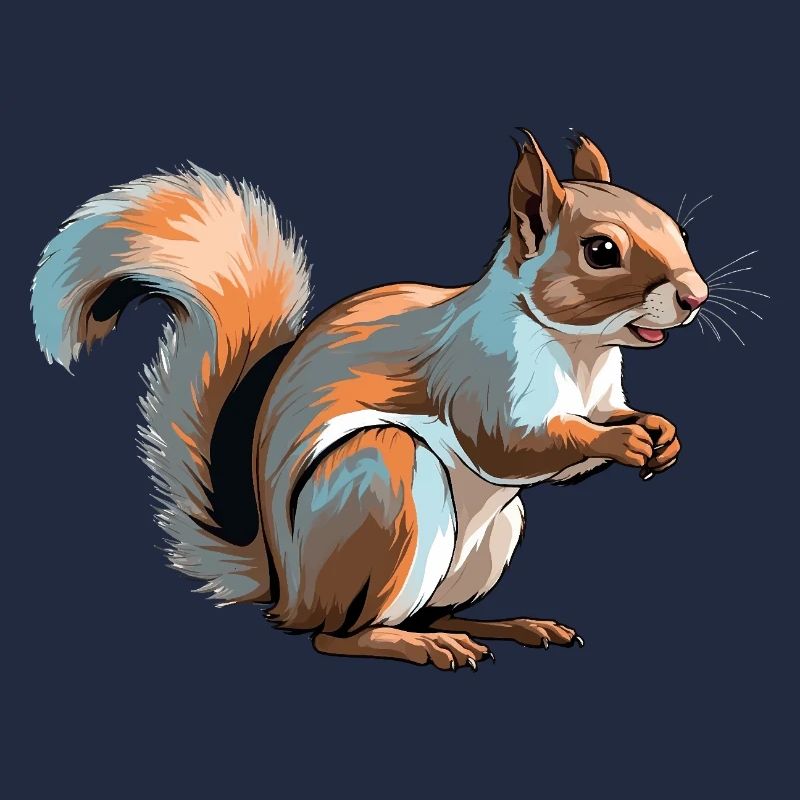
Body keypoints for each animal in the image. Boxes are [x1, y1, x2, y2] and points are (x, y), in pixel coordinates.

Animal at [31, 129, 708, 670]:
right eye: (601, 252)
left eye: (679, 231)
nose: (695, 296)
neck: (578, 349)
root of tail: (287, 592)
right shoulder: (477, 376)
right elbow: (511, 445)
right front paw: (621, 440)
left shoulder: (602, 390)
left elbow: (602, 422)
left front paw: (659, 432)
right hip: (382, 478)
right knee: (337, 636)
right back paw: (414, 645)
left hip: (493, 537)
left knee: (428, 611)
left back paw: (502, 626)